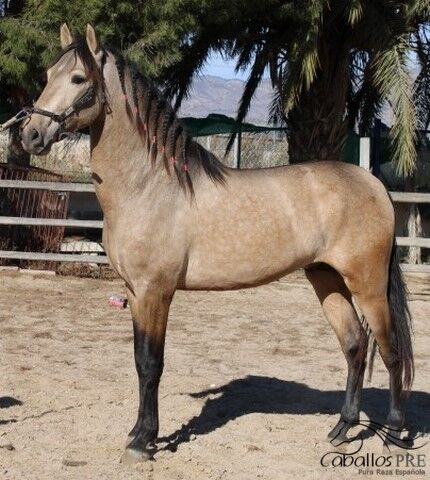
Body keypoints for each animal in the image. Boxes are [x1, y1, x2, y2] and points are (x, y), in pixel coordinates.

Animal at [15, 24, 414, 464]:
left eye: (78, 78)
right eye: (48, 74)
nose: (30, 134)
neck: (149, 185)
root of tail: (373, 184)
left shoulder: (156, 292)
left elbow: (152, 364)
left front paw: (144, 441)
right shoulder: (134, 293)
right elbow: (139, 361)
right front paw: (138, 432)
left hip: (368, 285)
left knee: (391, 351)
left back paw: (395, 434)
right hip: (325, 278)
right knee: (355, 346)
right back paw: (342, 429)